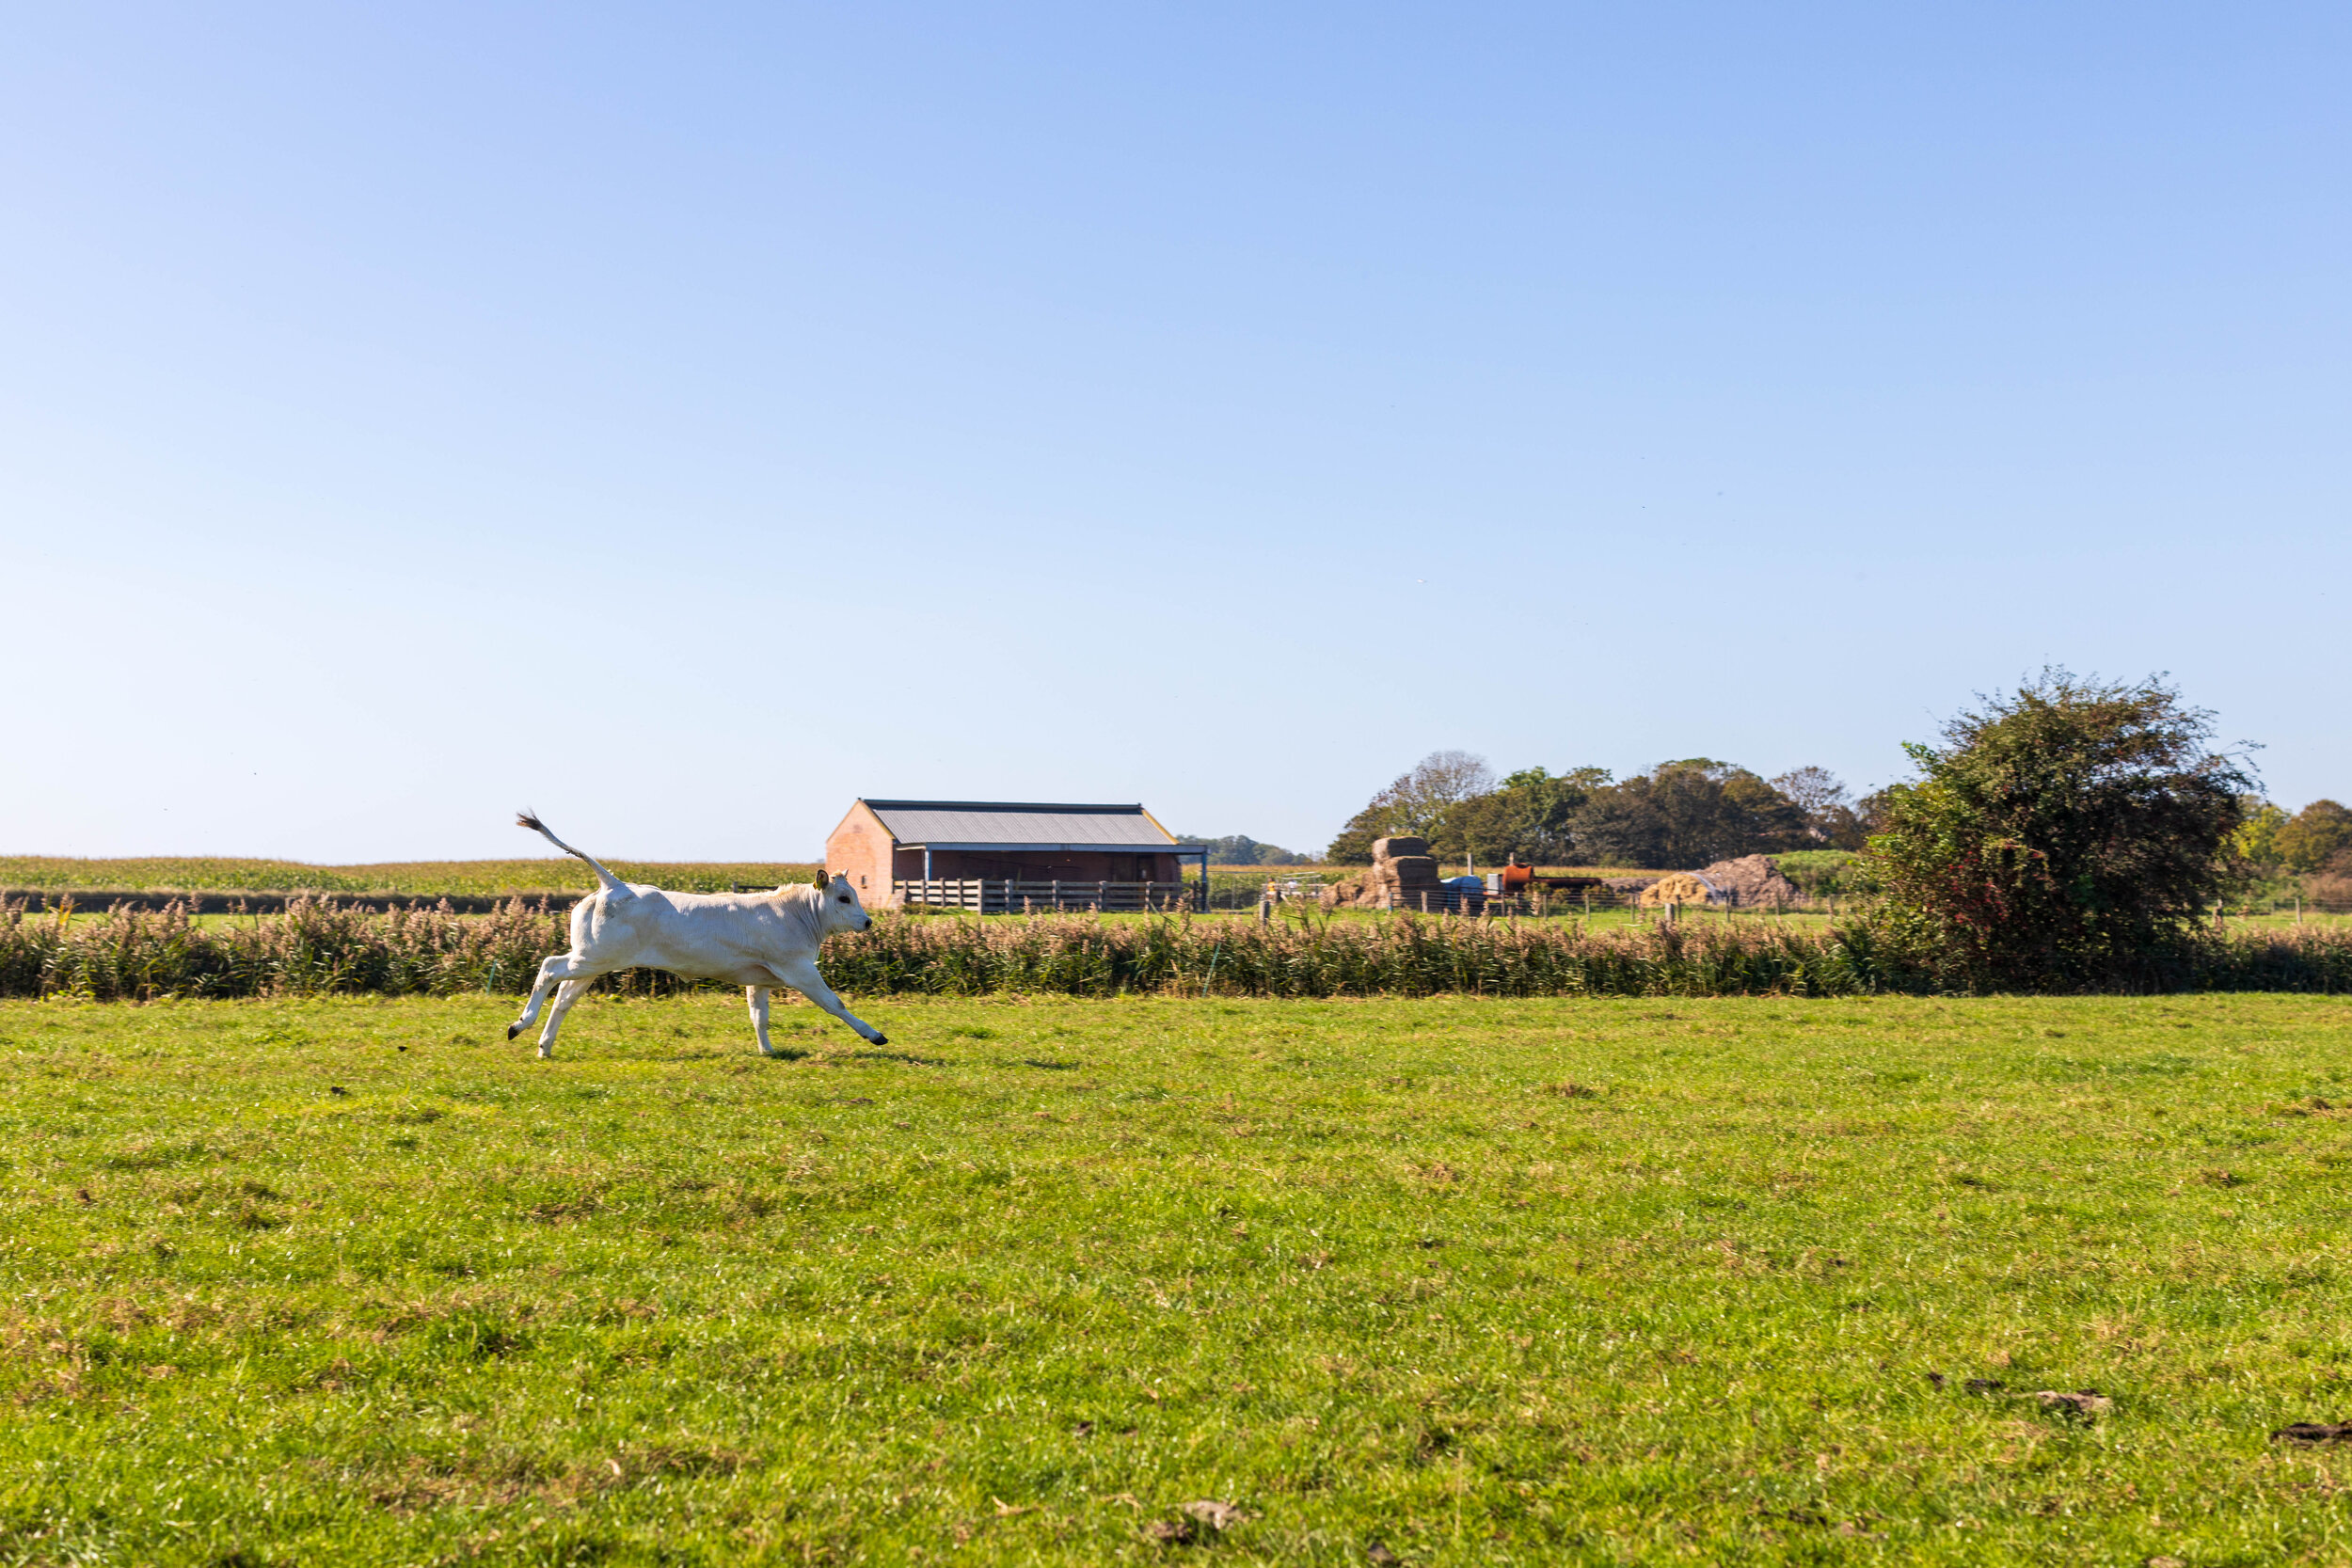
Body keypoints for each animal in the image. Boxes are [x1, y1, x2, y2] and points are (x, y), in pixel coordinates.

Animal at [508, 817, 889, 1062]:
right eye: (844, 898)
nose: (868, 921)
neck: (794, 913)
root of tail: (615, 884)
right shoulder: (799, 969)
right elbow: (834, 1004)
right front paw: (874, 1035)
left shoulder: (760, 978)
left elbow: (759, 1016)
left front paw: (768, 1051)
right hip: (592, 958)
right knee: (549, 968)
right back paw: (520, 1024)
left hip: (592, 963)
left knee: (563, 998)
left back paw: (543, 1046)